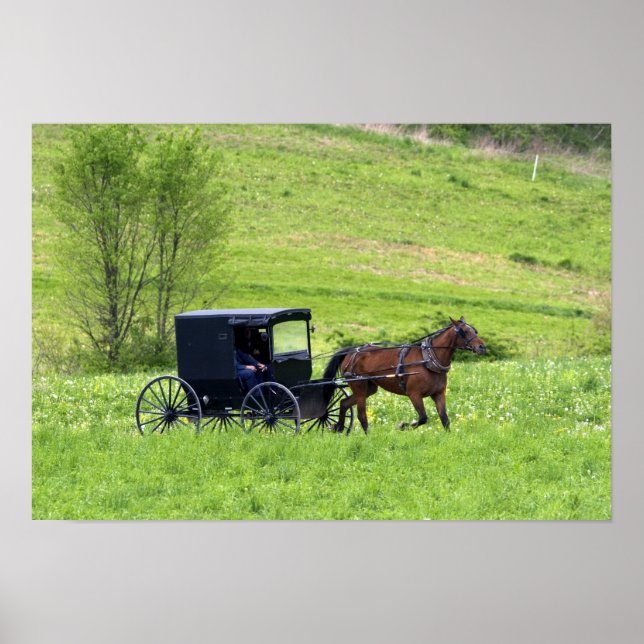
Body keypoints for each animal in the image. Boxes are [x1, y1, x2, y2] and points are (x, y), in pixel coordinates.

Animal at [322, 317, 486, 434]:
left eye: (475, 330)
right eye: (464, 332)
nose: (482, 347)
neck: (428, 359)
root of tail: (351, 351)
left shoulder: (438, 394)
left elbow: (444, 419)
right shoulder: (414, 394)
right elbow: (423, 418)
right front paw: (402, 425)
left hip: (369, 388)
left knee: (344, 403)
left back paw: (338, 427)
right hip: (359, 386)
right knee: (362, 415)